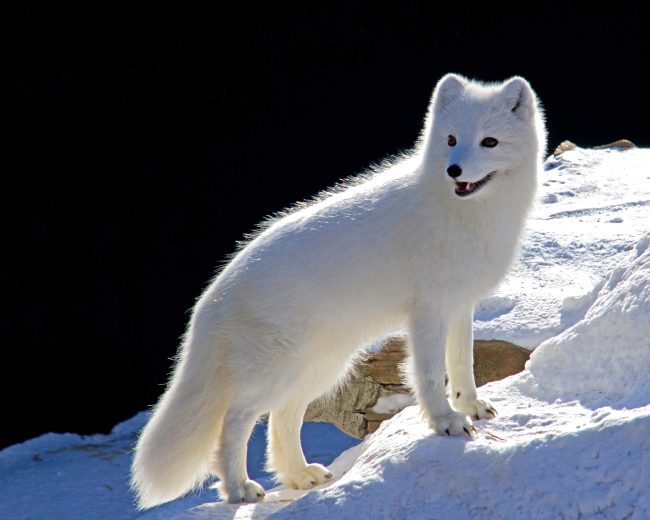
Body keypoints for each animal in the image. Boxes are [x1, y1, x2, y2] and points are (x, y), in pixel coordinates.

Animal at [134, 74, 544, 508]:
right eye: (450, 139)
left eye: (489, 142)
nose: (454, 170)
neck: (466, 214)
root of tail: (213, 294)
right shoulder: (428, 311)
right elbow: (431, 375)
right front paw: (445, 422)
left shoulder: (461, 305)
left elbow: (463, 364)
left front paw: (471, 407)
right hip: (280, 369)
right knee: (236, 419)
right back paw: (239, 488)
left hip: (320, 368)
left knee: (281, 419)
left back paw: (300, 476)